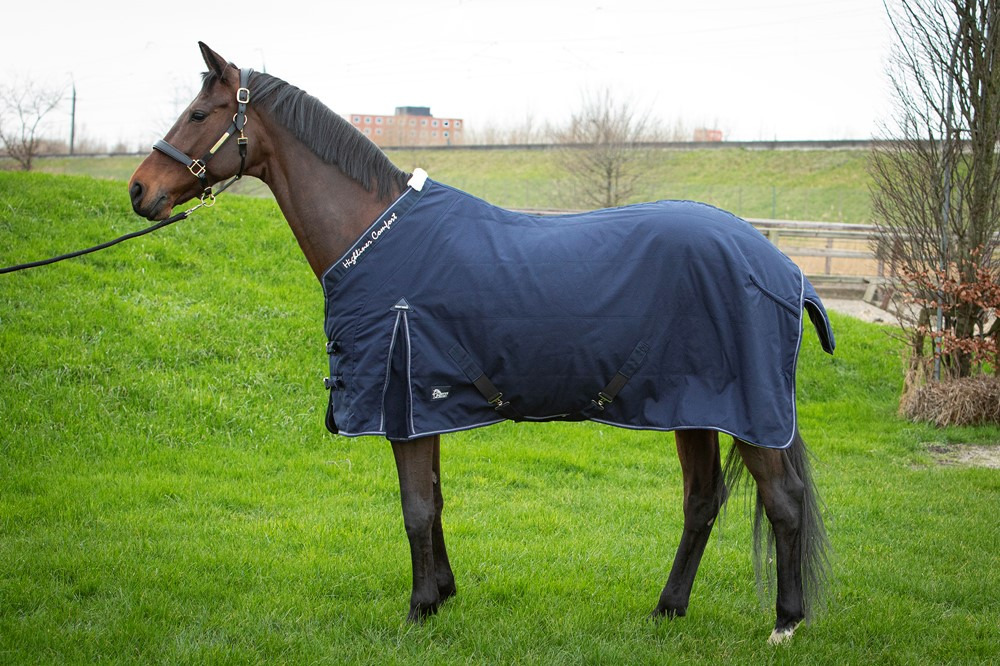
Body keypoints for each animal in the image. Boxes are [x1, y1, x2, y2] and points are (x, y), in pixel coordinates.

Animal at [128, 42, 833, 644]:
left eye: (198, 114)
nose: (140, 189)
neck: (375, 234)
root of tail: (780, 265)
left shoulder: (403, 401)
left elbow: (415, 506)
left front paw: (418, 610)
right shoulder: (422, 406)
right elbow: (436, 500)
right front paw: (442, 593)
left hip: (750, 414)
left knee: (783, 503)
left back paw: (785, 623)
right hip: (694, 410)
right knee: (702, 502)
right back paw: (668, 608)